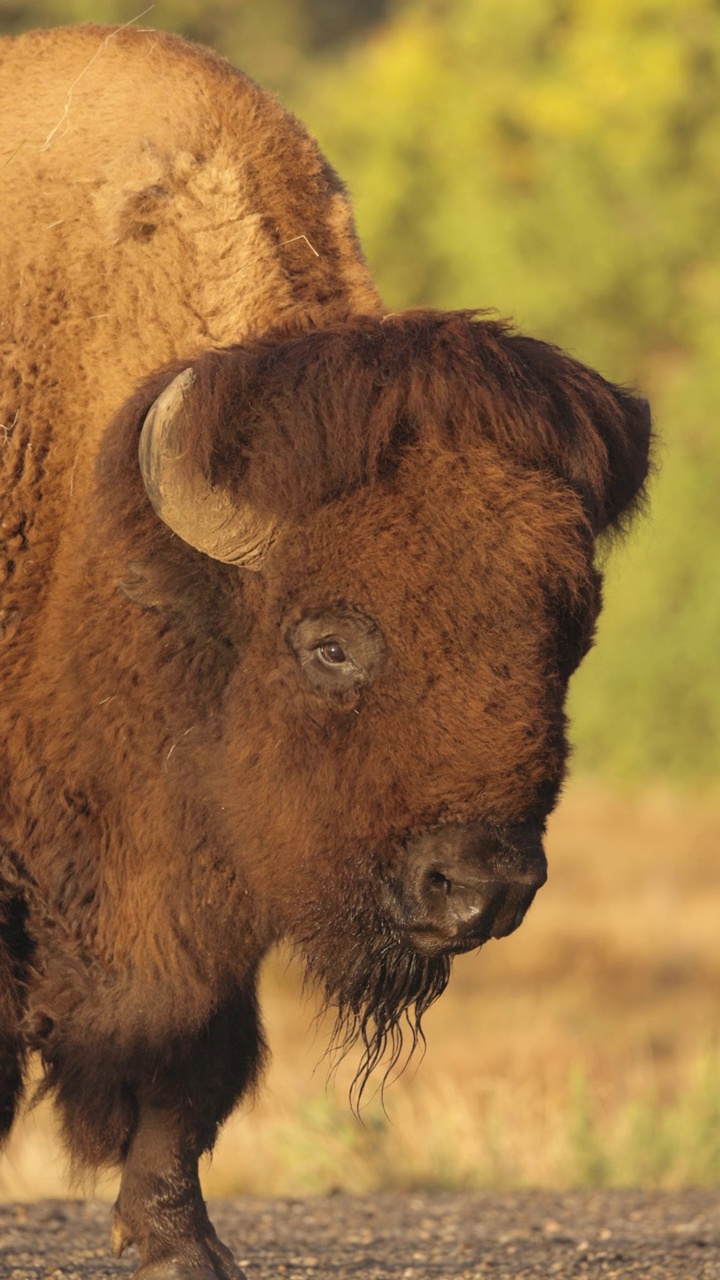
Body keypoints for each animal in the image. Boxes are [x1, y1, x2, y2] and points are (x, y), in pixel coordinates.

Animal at [1, 22, 650, 1280]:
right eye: (330, 643)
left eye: (569, 633)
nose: (477, 886)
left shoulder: (217, 887)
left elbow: (192, 1067)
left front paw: (180, 1244)